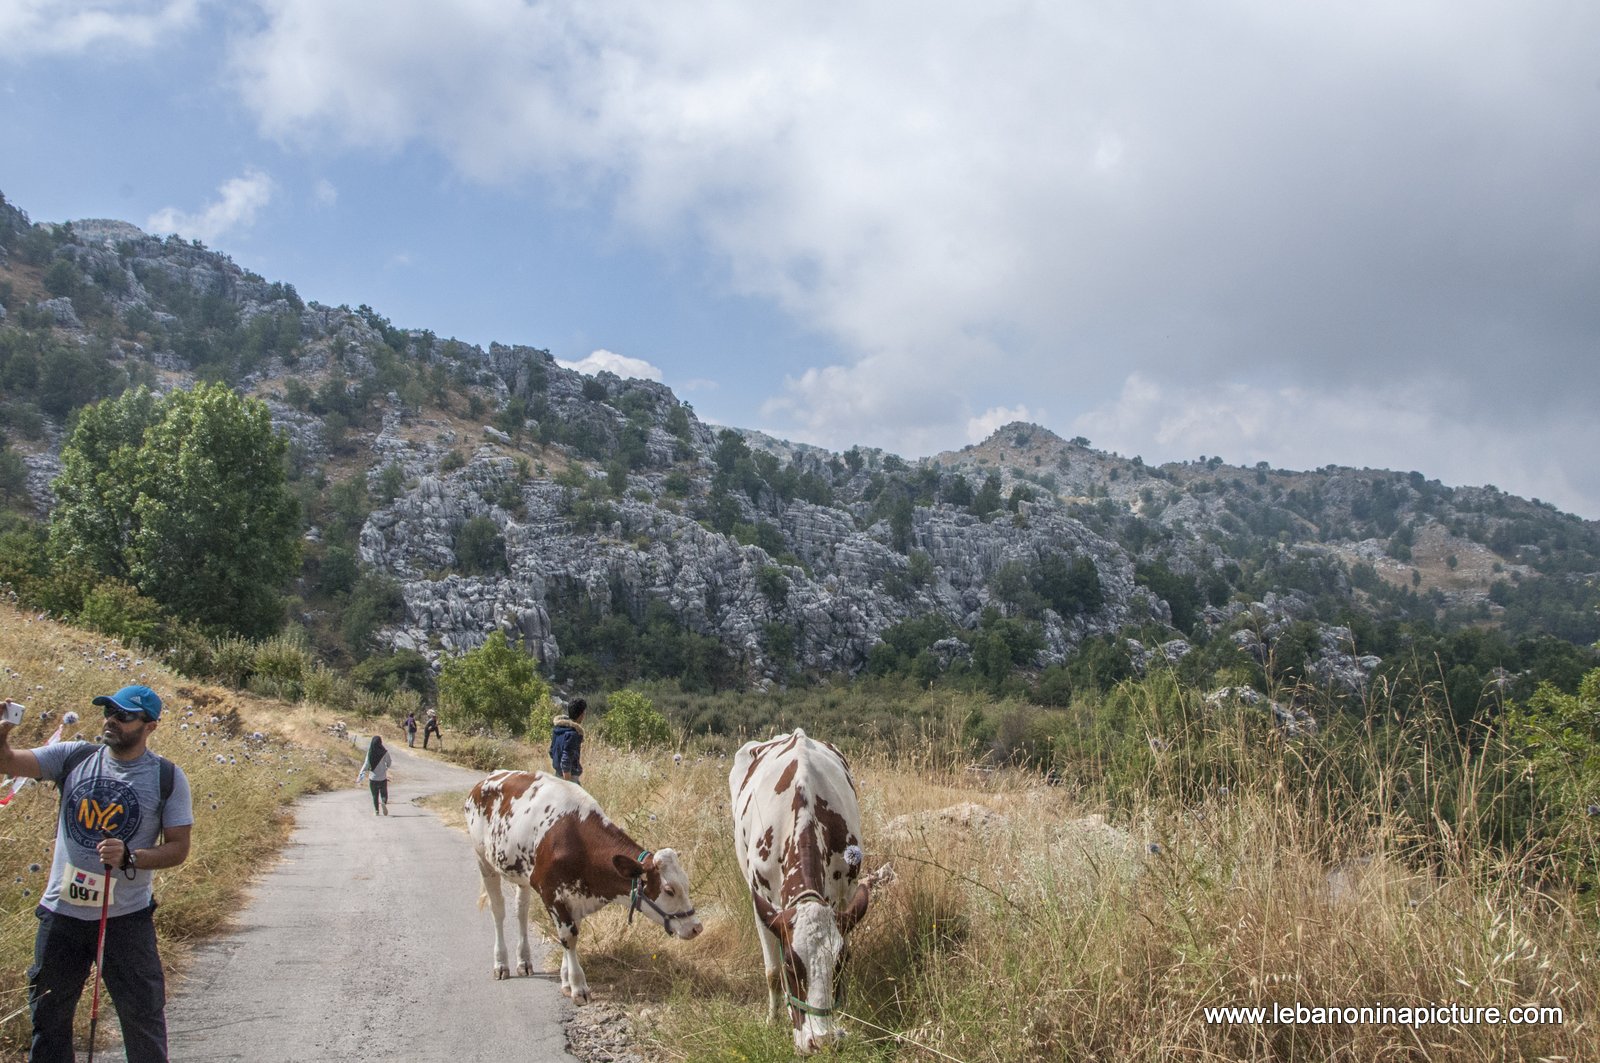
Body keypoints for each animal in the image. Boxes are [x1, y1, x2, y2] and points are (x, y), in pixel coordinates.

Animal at [467, 768, 707, 998]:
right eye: (669, 890)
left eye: (686, 884)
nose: (696, 927)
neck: (577, 841)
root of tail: (485, 780)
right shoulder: (552, 893)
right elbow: (568, 937)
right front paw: (578, 987)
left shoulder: (575, 895)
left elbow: (572, 933)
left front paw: (565, 980)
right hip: (483, 861)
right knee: (498, 911)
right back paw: (501, 964)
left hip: (520, 875)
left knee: (521, 911)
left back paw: (524, 961)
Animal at [732, 726, 896, 1050]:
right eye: (791, 966)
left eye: (841, 963)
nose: (821, 1041)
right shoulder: (761, 903)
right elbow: (771, 972)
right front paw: (772, 1020)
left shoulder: (844, 894)